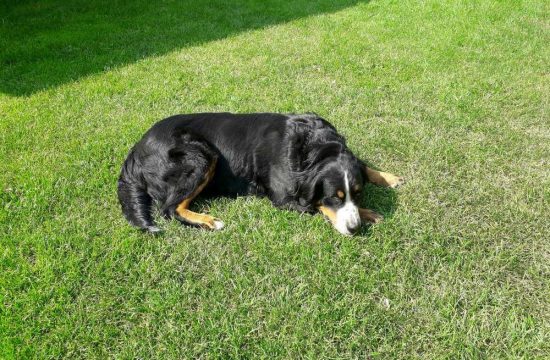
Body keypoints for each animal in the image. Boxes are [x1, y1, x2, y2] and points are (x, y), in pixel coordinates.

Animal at [117, 113, 406, 236]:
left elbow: (363, 166)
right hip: (200, 154)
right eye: (334, 197)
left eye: (358, 193)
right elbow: (314, 204)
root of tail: (135, 151)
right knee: (170, 208)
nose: (354, 229)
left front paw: (388, 177)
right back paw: (208, 221)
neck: (313, 146)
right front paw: (368, 214)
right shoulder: (283, 196)